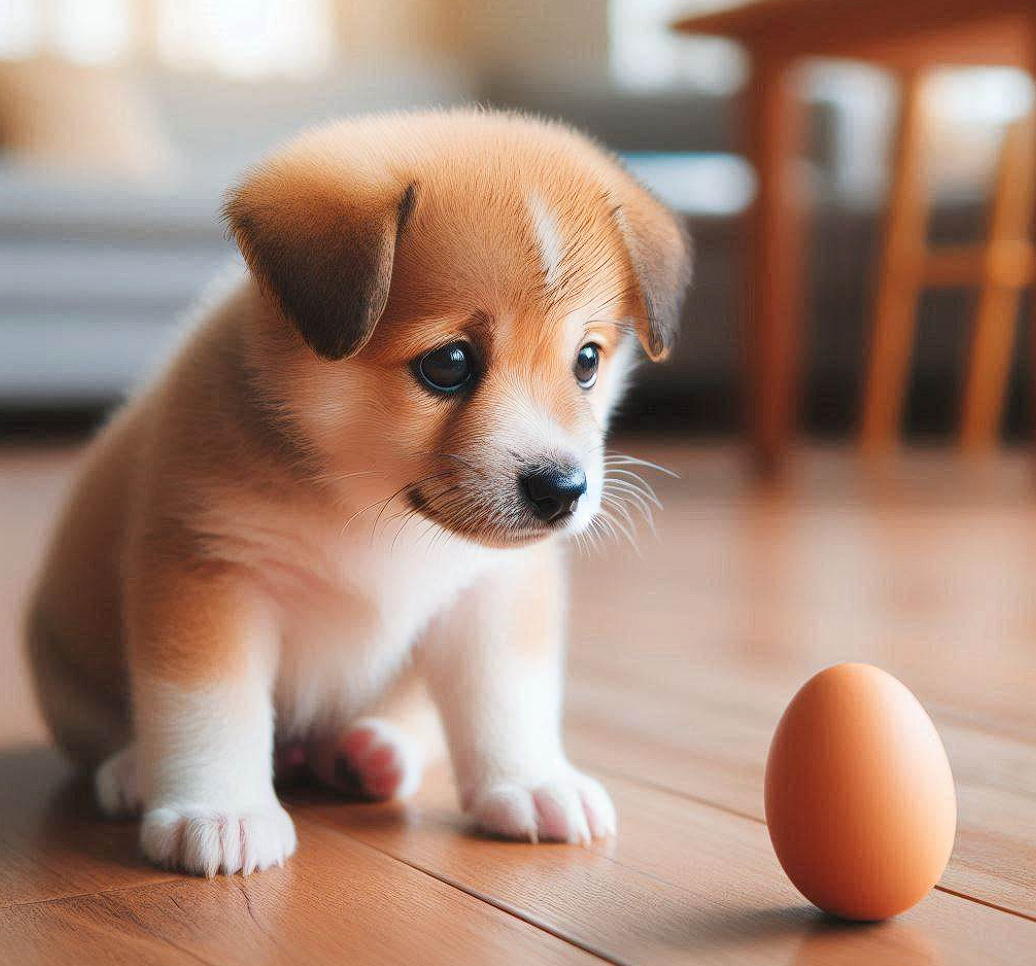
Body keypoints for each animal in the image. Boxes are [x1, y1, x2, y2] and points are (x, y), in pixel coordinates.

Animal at [26, 109, 687, 878]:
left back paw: (372, 752)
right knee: (110, 734)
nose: (563, 489)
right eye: (449, 363)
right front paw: (218, 812)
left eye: (587, 360)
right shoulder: (209, 575)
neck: (368, 503)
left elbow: (506, 695)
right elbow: (210, 708)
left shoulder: (492, 594)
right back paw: (134, 770)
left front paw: (530, 783)